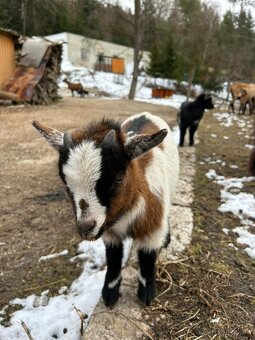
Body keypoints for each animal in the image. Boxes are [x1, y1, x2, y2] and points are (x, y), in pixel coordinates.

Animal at [32, 113, 179, 306]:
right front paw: (110, 293)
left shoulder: (151, 231)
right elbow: (113, 259)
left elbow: (147, 262)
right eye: (64, 182)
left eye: (119, 177)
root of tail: (146, 115)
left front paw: (146, 294)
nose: (86, 227)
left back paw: (167, 239)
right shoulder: (110, 234)